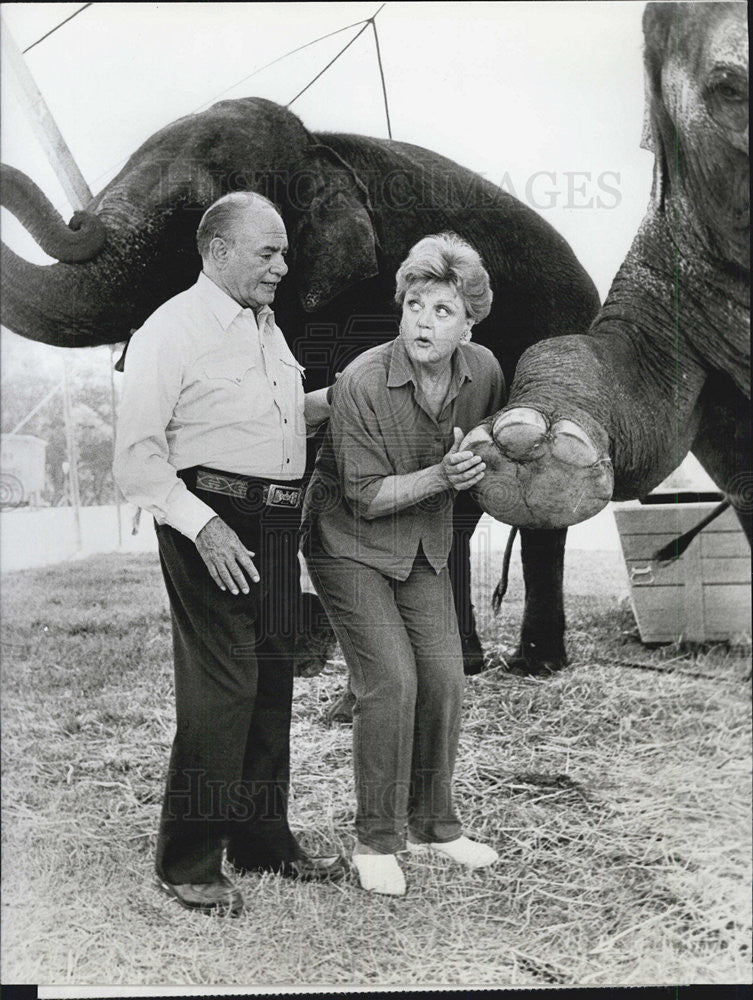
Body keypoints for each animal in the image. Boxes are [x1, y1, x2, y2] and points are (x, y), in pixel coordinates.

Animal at [1, 94, 600, 676]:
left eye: (194, 214)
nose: (79, 218)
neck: (316, 146)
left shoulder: (363, 298)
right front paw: (305, 654)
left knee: (539, 508)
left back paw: (533, 665)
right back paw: (470, 662)